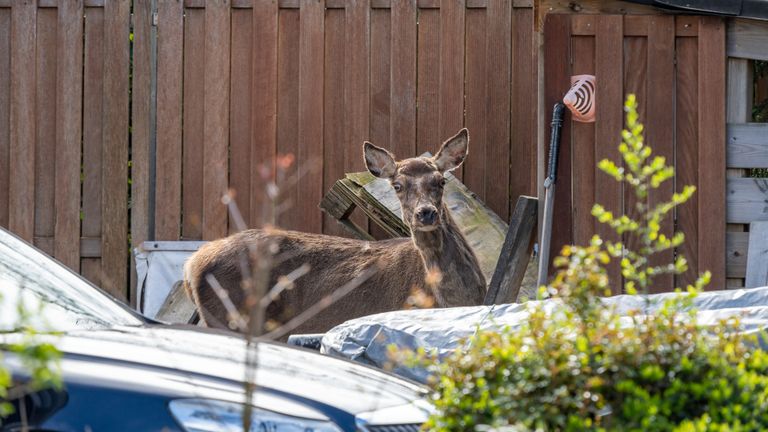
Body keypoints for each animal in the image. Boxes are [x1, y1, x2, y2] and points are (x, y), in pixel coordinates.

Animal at [184, 128, 486, 338]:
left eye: (441, 181)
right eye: (397, 185)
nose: (426, 213)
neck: (456, 298)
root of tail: (191, 265)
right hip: (230, 319)